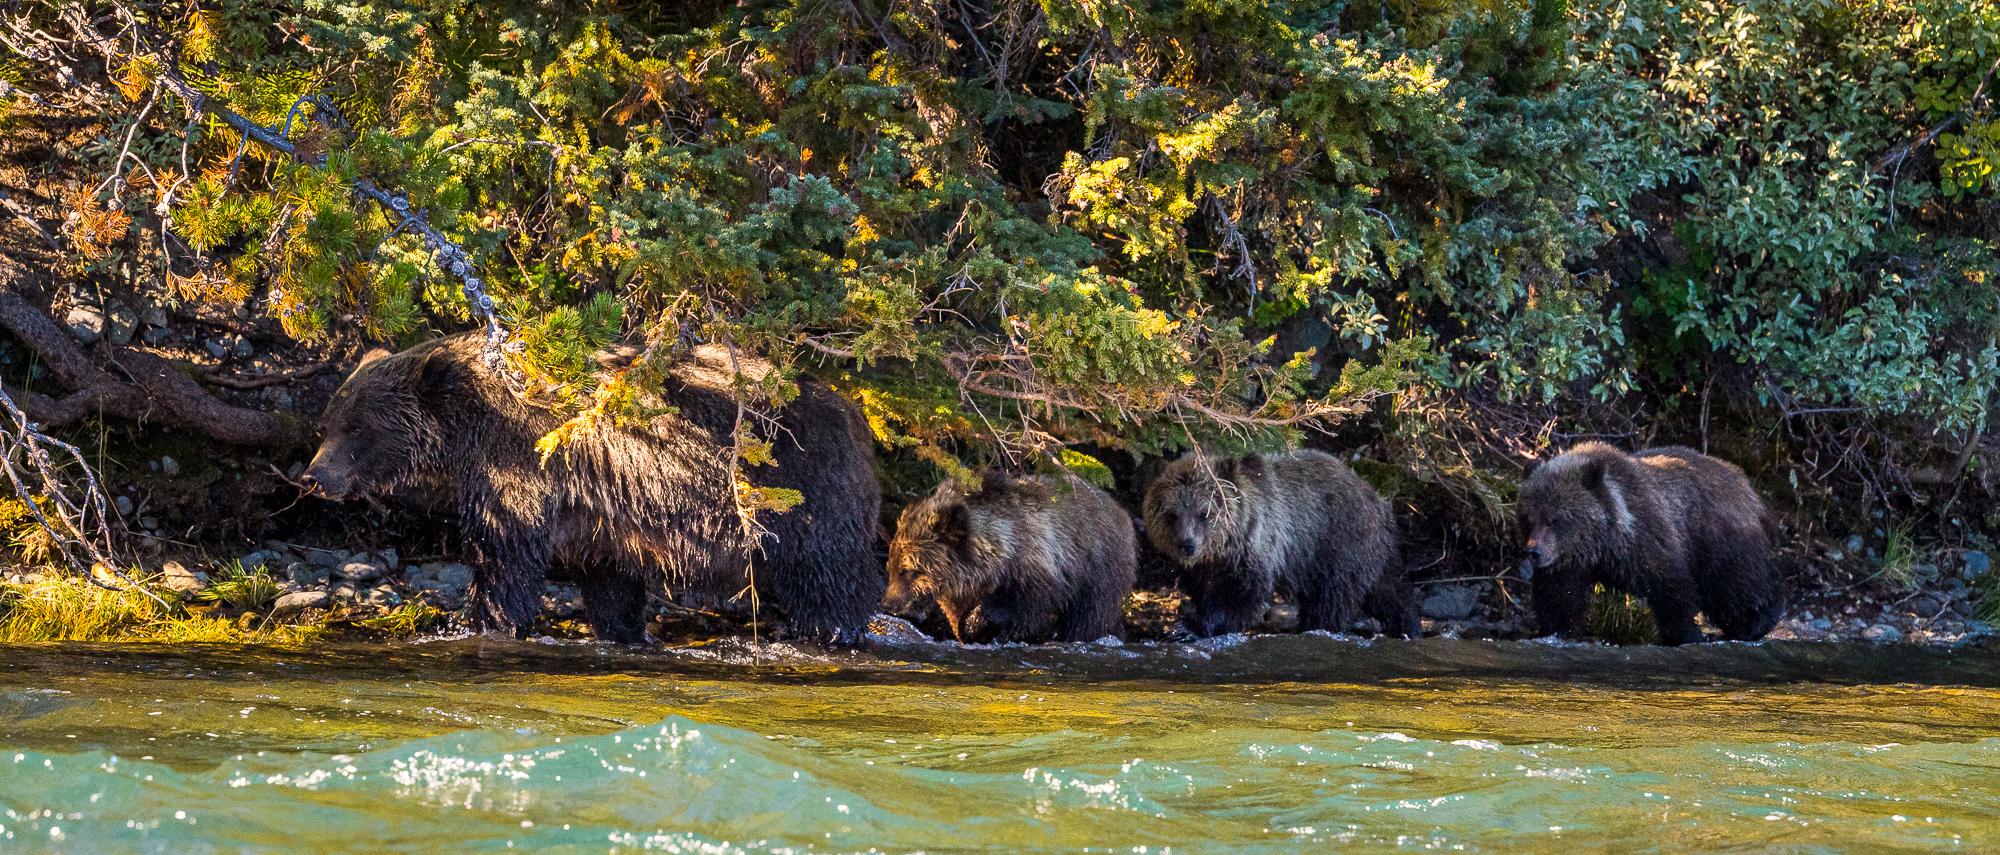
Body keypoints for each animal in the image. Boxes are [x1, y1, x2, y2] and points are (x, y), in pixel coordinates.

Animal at [300, 332, 883, 644]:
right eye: (327, 424)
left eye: (357, 428)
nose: (314, 476)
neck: (467, 430)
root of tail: (857, 414)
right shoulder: (601, 518)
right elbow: (610, 583)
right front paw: (623, 630)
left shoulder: (522, 463)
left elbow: (505, 552)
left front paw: (486, 620)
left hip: (802, 491)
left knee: (829, 576)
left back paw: (833, 631)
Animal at [883, 470, 1136, 643]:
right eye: (891, 567)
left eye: (909, 570)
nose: (887, 603)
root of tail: (1121, 510)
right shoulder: (961, 590)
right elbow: (959, 614)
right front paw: (968, 630)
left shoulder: (1036, 567)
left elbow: (1028, 607)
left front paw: (983, 623)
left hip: (1099, 567)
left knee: (1090, 615)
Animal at [1141, 449, 1416, 638]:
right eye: (1172, 514)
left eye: (1204, 513)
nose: (1187, 545)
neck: (1222, 550)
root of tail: (1377, 499)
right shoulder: (1204, 568)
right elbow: (1203, 589)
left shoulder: (1258, 545)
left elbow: (1240, 593)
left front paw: (1192, 626)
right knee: (1385, 590)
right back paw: (1407, 625)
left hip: (1337, 542)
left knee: (1332, 595)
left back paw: (1315, 625)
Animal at [1516, 441, 1783, 645]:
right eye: (1528, 518)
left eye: (1554, 519)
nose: (1534, 552)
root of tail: (1744, 484)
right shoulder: (1568, 562)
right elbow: (1559, 595)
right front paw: (1555, 631)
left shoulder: (1647, 538)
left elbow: (1670, 585)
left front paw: (1685, 634)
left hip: (1717, 537)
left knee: (1733, 584)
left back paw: (1754, 624)